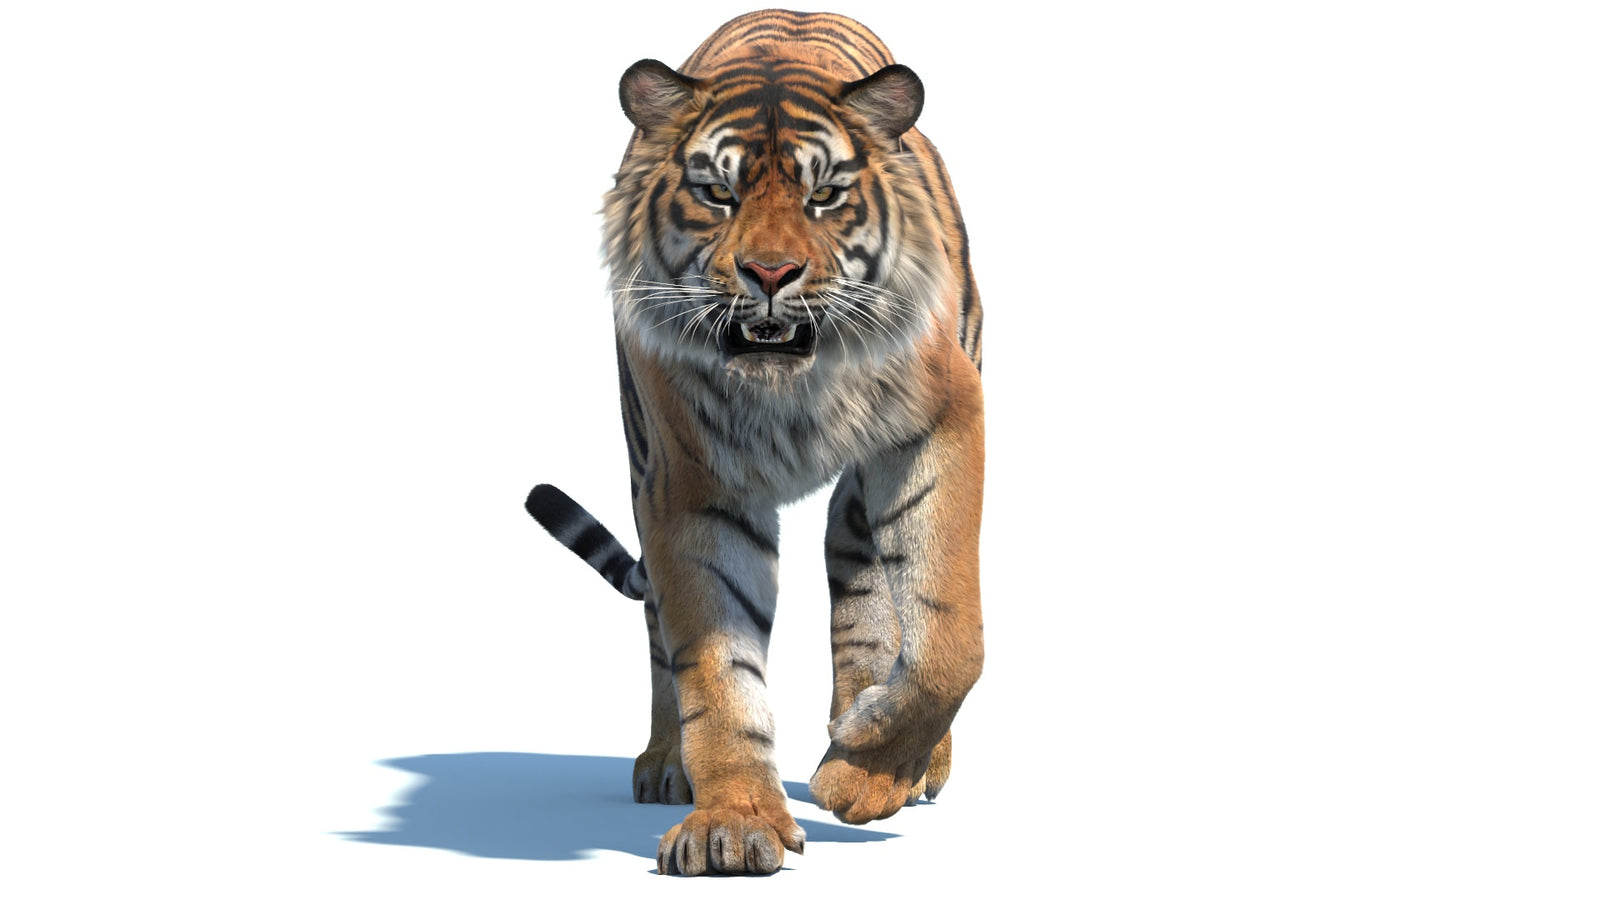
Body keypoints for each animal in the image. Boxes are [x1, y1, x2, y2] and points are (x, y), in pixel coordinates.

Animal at [524, 9, 984, 876]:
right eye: (717, 192)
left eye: (825, 195)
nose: (770, 273)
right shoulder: (688, 483)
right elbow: (714, 665)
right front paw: (732, 826)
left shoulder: (942, 421)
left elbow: (948, 635)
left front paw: (863, 778)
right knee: (661, 632)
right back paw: (666, 763)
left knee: (867, 603)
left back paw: (886, 751)